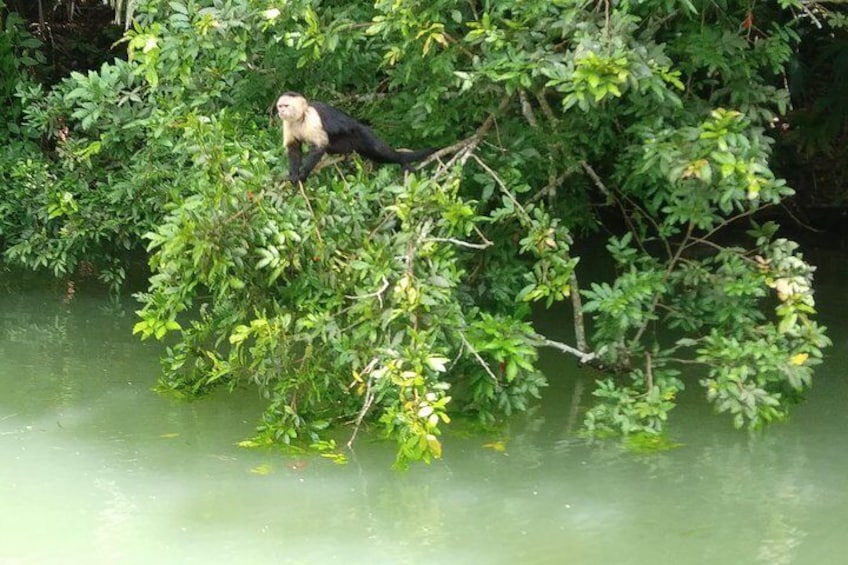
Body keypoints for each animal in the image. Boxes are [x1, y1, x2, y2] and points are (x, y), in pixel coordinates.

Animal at [276, 91, 438, 182]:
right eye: (280, 106)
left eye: (286, 106)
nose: (280, 111)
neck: (299, 118)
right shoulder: (287, 123)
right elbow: (293, 148)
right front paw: (293, 174)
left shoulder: (312, 118)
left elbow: (319, 145)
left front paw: (303, 174)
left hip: (361, 132)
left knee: (379, 150)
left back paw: (401, 159)